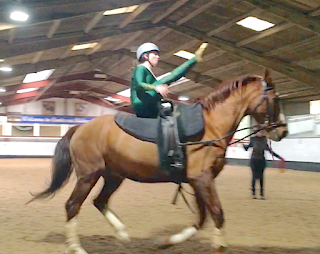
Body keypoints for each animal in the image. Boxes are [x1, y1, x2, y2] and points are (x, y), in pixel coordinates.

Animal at [28, 69, 288, 254]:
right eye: (275, 99)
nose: (283, 130)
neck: (211, 126)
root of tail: (81, 127)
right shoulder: (202, 178)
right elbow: (217, 213)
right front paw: (219, 244)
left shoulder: (197, 181)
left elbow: (202, 217)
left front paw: (167, 241)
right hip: (88, 176)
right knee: (72, 206)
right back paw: (77, 248)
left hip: (113, 175)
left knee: (99, 201)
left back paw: (122, 235)